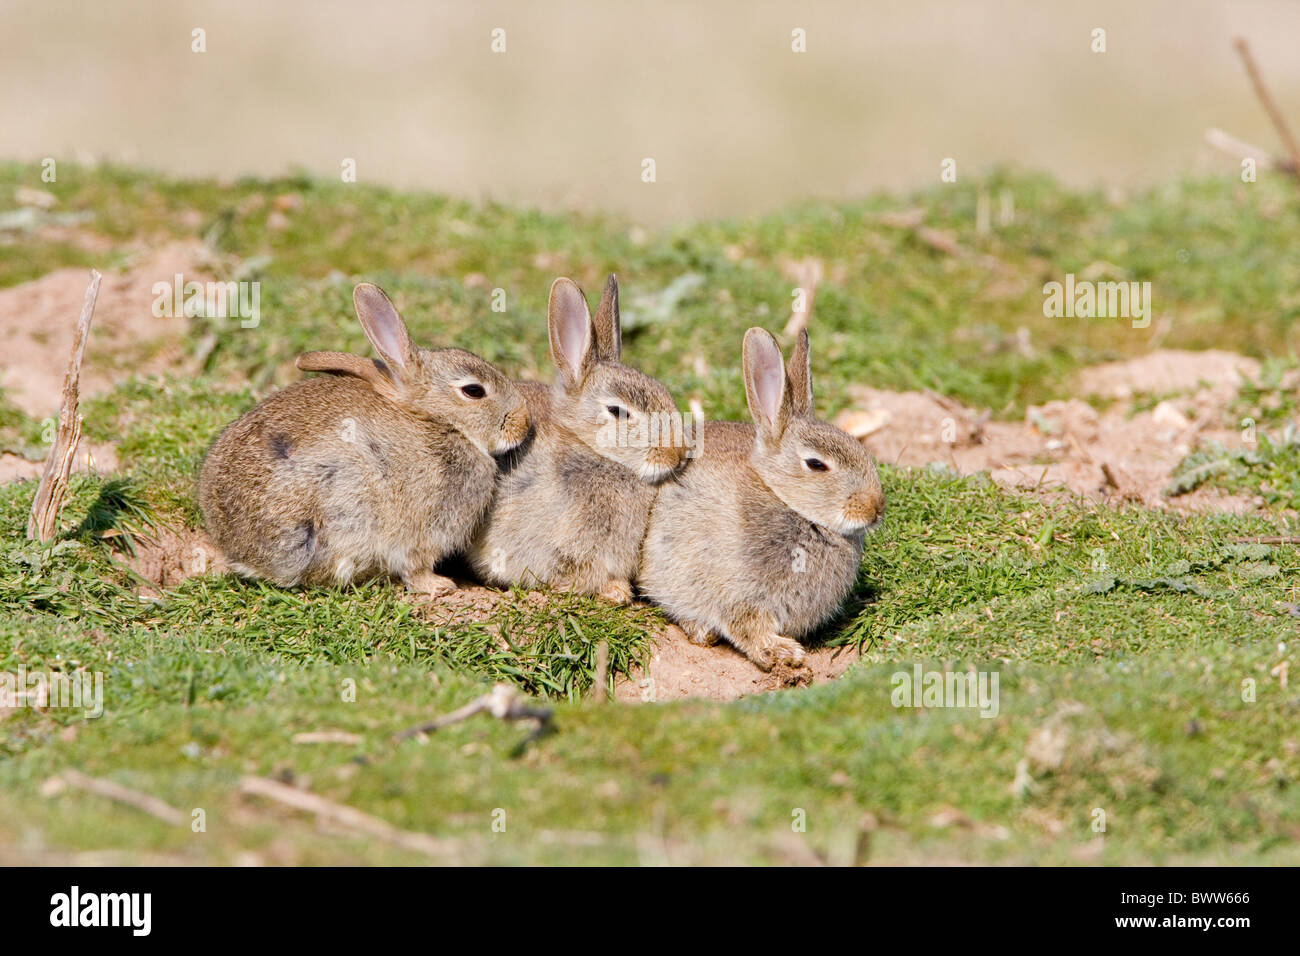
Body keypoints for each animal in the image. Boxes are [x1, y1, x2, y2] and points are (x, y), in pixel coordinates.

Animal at [197, 282, 527, 598]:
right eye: (474, 391)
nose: (523, 424)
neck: (443, 424)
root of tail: (241, 551)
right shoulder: (422, 528)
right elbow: (415, 566)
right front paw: (439, 586)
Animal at [637, 325, 889, 671]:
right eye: (816, 464)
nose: (876, 508)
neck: (786, 502)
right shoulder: (738, 594)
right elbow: (747, 627)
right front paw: (782, 653)